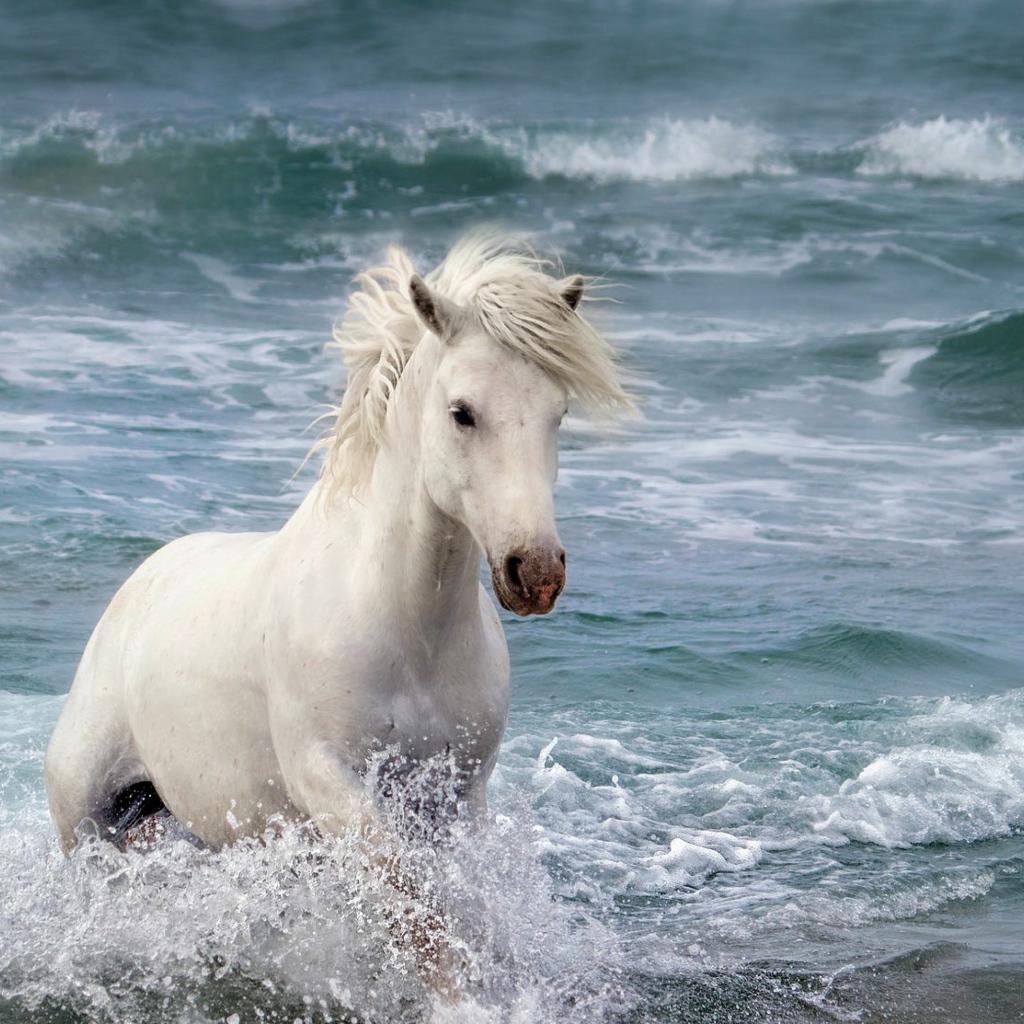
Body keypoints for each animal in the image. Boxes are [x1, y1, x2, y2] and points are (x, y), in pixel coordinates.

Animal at [44, 232, 630, 983]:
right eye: (462, 411)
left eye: (559, 413)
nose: (536, 572)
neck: (406, 631)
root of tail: (138, 584)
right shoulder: (328, 779)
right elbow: (412, 904)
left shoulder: (458, 794)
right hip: (85, 819)